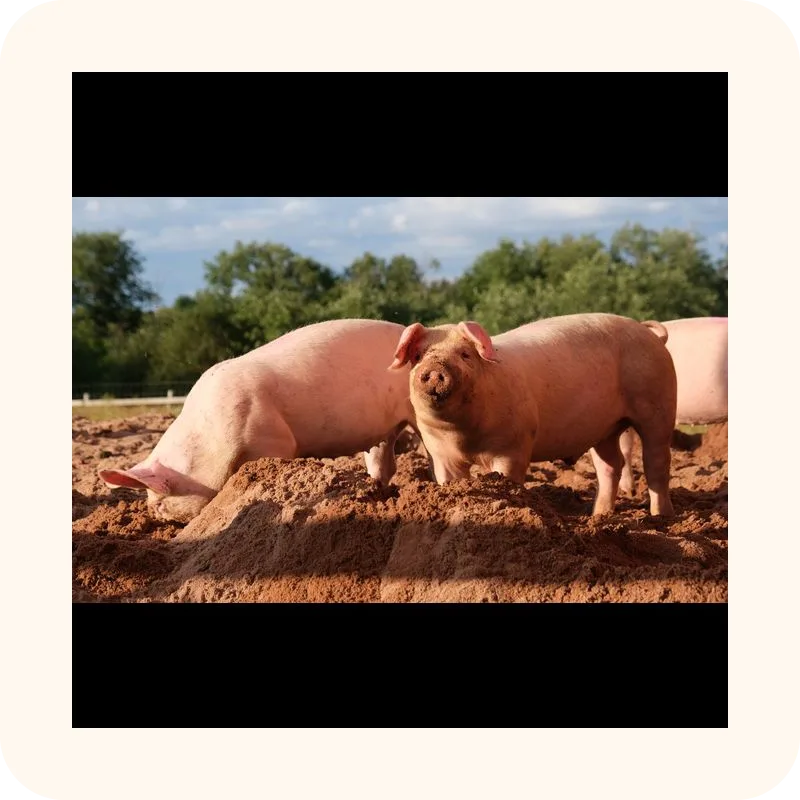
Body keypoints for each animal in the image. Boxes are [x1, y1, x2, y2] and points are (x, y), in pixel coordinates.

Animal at [98, 318, 420, 523]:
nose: (154, 515)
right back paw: (379, 490)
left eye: (160, 501)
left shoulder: (272, 440)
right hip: (384, 429)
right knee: (384, 460)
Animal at [388, 313, 678, 517]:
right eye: (418, 355)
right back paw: (598, 515)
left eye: (465, 354)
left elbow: (507, 478)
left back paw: (660, 517)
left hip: (658, 404)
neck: (463, 436)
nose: (435, 368)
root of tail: (650, 335)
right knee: (610, 464)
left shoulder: (513, 445)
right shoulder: (440, 452)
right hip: (605, 428)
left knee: (656, 461)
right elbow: (450, 480)